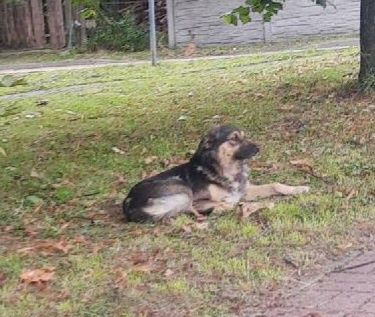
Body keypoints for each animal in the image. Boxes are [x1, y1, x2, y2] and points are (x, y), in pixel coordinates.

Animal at [123, 124, 312, 221]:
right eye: (234, 139)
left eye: (244, 136)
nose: (258, 148)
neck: (228, 169)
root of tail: (127, 201)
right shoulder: (201, 199)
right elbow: (219, 203)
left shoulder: (245, 190)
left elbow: (275, 185)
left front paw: (298, 189)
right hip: (182, 189)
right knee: (191, 209)